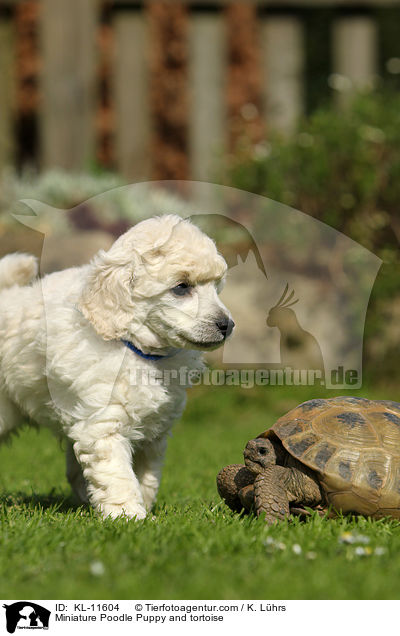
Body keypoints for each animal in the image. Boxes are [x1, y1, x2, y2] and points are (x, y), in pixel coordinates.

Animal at [0, 216, 234, 520]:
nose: (227, 325)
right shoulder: (103, 424)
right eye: (182, 287)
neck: (137, 349)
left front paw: (144, 508)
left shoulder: (154, 430)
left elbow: (146, 474)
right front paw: (129, 516)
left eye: (217, 287)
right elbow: (118, 474)